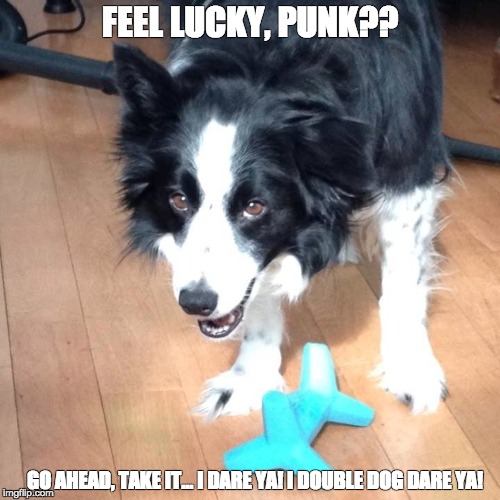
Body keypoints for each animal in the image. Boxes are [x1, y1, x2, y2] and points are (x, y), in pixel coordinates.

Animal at [113, 0, 450, 418]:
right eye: (179, 200)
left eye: (255, 207)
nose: (195, 303)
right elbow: (256, 290)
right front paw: (250, 377)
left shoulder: (407, 163)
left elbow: (405, 279)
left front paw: (411, 371)